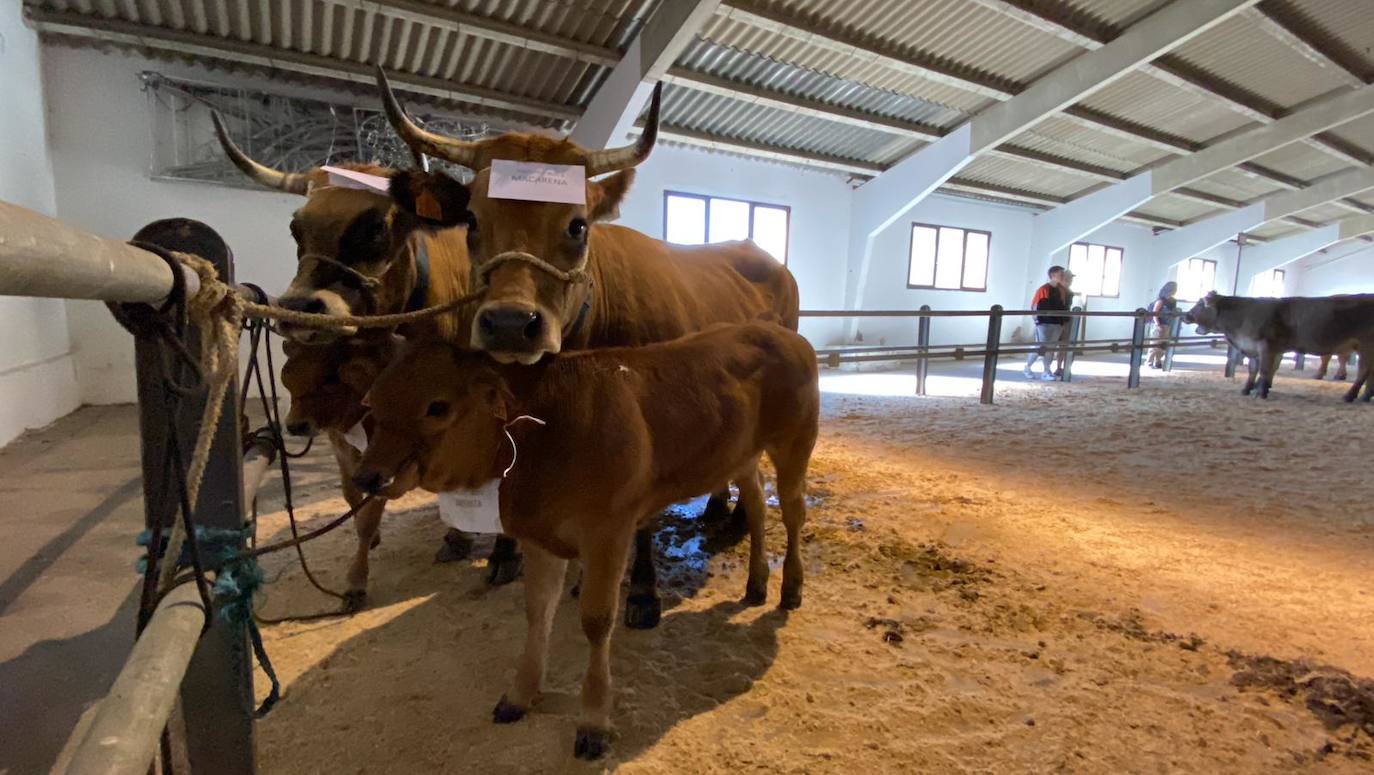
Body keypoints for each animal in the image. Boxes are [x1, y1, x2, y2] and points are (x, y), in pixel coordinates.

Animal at [357, 322, 824, 764]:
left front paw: (593, 723)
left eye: (438, 407)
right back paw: (756, 582)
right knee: (757, 504)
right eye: (373, 402)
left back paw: (791, 588)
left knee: (793, 511)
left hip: (795, 443)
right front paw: (519, 696)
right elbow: (537, 613)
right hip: (742, 455)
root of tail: (785, 334)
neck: (541, 435)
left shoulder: (608, 530)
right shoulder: (540, 535)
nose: (368, 477)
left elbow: (597, 622)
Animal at [1181, 288, 1374, 398]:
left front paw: (1260, 392)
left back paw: (1350, 395)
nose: (1185, 315)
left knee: (1363, 371)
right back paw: (1365, 397)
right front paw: (1248, 388)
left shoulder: (1267, 347)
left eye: (1200, 304)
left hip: (1366, 346)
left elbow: (1266, 370)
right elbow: (1254, 370)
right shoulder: (1254, 348)